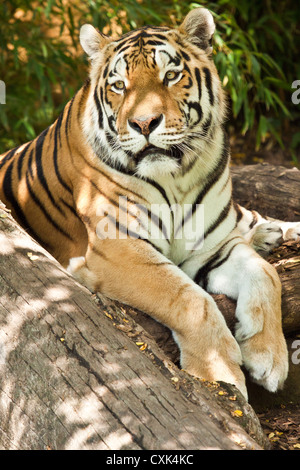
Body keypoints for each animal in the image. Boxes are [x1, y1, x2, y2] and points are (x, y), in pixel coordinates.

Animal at [0, 6, 300, 400]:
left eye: (170, 76)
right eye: (119, 86)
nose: (144, 123)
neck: (176, 178)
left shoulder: (211, 246)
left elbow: (266, 274)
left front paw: (268, 355)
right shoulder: (118, 249)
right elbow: (189, 300)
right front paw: (218, 372)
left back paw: (274, 232)